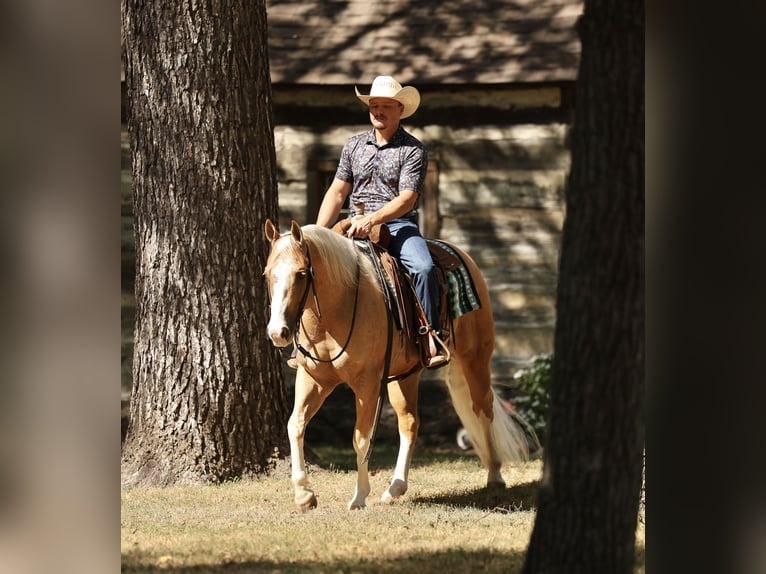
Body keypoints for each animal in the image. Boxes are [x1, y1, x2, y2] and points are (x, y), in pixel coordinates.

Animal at [264, 219, 535, 511]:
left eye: (302, 274)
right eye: (267, 274)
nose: (277, 333)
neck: (336, 312)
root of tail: (461, 254)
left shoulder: (367, 384)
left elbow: (360, 437)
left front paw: (359, 497)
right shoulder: (313, 378)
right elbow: (295, 425)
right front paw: (304, 494)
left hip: (475, 358)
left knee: (483, 409)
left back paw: (495, 475)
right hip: (404, 376)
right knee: (410, 423)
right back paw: (395, 487)